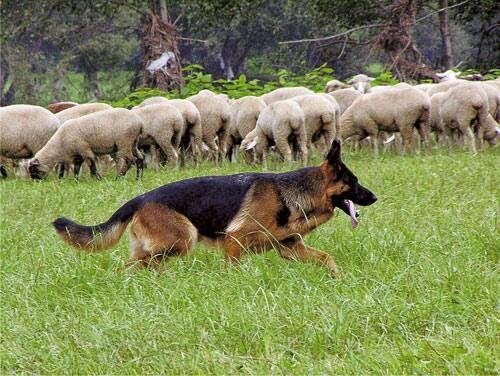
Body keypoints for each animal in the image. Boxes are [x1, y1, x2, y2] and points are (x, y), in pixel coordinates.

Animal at [53, 141, 376, 276]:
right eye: (355, 183)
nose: (375, 198)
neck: (293, 194)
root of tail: (141, 198)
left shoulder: (290, 248)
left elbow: (326, 258)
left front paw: (337, 277)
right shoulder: (234, 242)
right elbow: (231, 271)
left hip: (161, 247)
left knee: (139, 264)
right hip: (182, 239)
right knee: (132, 265)